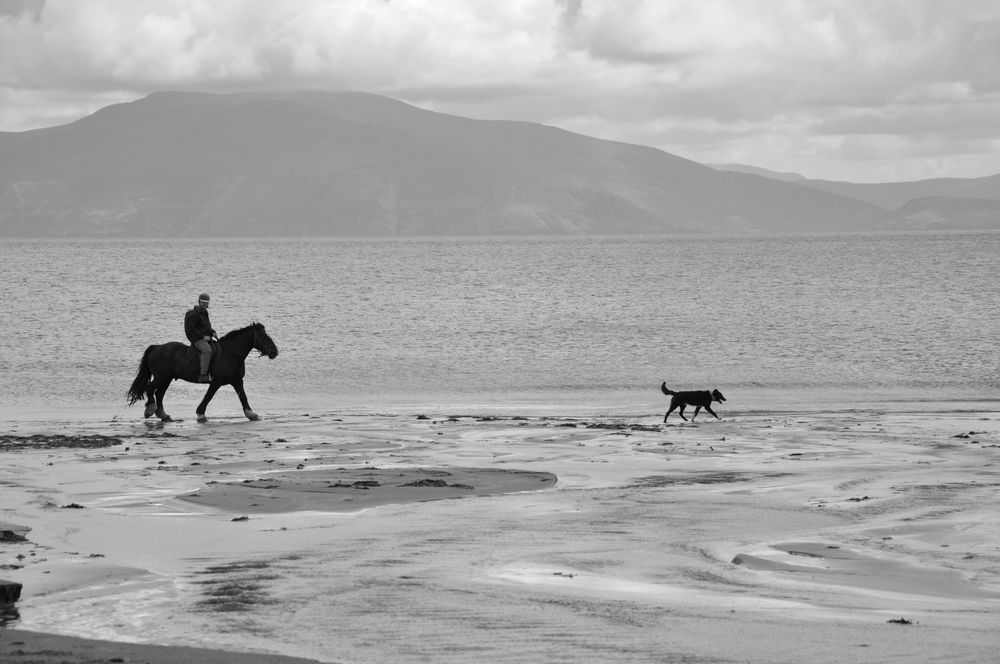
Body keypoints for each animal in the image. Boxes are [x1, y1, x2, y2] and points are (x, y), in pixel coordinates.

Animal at [128, 322, 282, 420]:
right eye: (263, 336)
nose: (275, 352)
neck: (230, 354)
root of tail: (156, 347)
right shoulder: (217, 381)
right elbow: (208, 396)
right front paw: (200, 413)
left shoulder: (237, 381)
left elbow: (243, 396)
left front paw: (251, 414)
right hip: (162, 377)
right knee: (150, 388)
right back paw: (151, 409)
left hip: (167, 378)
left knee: (159, 393)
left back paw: (163, 415)